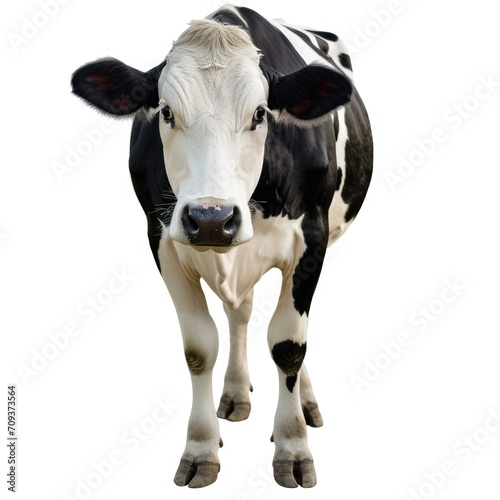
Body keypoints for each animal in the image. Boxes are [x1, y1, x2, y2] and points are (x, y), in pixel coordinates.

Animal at [72, 2, 374, 488]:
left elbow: (288, 345)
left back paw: (306, 403)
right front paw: (200, 448)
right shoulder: (162, 241)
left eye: (260, 113)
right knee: (240, 314)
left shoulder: (311, 241)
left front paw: (292, 446)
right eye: (166, 112)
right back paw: (235, 393)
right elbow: (200, 348)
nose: (211, 218)